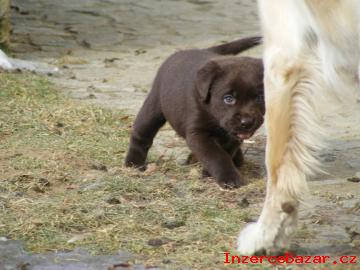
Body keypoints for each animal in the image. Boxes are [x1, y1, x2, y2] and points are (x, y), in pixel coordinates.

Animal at [126, 37, 264, 188]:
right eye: (228, 99)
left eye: (260, 97)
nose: (247, 122)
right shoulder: (198, 133)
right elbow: (217, 155)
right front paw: (229, 178)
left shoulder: (232, 137)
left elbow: (226, 152)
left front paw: (211, 172)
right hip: (153, 106)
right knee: (141, 134)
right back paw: (133, 163)